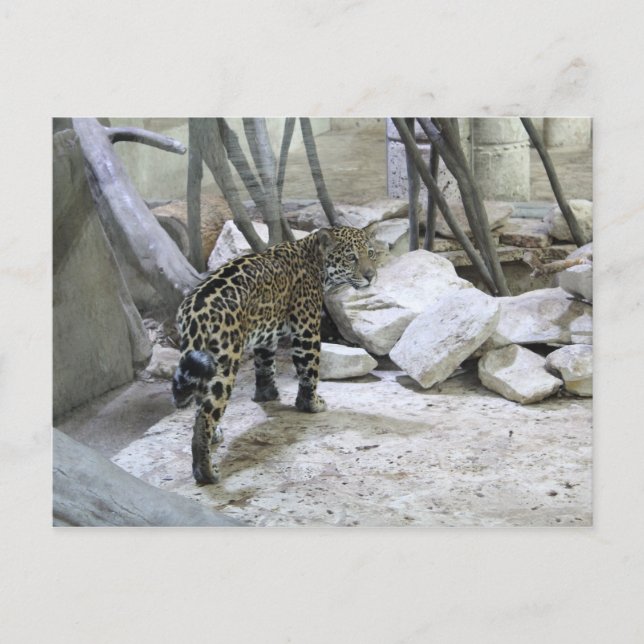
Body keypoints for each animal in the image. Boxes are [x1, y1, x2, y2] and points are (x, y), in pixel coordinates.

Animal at [172, 226, 377, 485]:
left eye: (371, 253)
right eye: (351, 257)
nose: (371, 275)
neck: (315, 260)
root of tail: (193, 311)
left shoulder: (265, 332)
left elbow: (265, 365)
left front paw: (267, 395)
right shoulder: (306, 330)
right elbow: (309, 371)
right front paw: (311, 404)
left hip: (201, 357)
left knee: (202, 402)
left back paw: (215, 435)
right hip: (224, 362)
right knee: (205, 416)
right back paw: (206, 471)